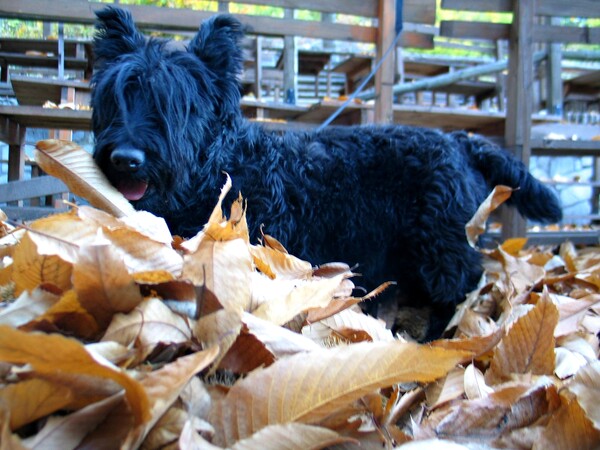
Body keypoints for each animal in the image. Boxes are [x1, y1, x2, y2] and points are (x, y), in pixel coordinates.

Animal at [90, 6, 564, 338]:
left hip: (440, 245)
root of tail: (462, 142)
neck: (223, 166)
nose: (126, 158)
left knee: (462, 286)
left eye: (178, 104)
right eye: (118, 96)